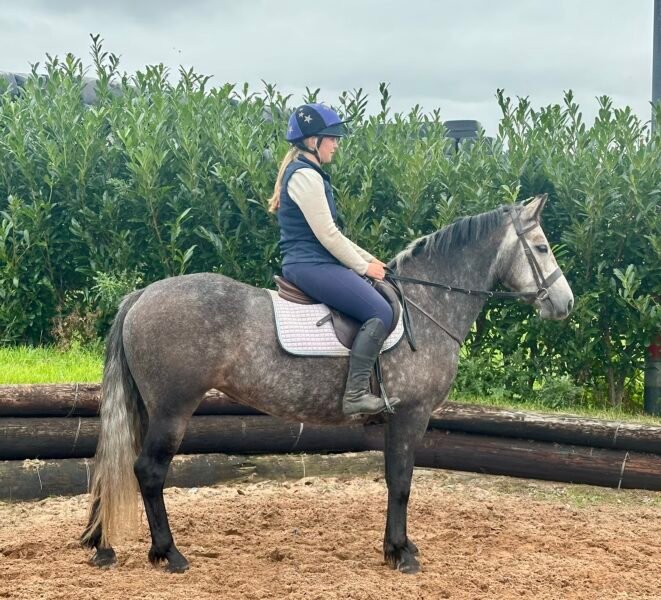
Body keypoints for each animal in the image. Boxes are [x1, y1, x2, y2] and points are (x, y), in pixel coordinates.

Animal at [81, 194, 574, 574]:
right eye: (542, 247)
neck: (427, 301)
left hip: (148, 409)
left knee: (119, 466)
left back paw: (110, 545)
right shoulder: (410, 415)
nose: (565, 304)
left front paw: (398, 547)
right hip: (173, 409)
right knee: (149, 471)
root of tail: (142, 294)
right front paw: (400, 553)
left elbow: (394, 479)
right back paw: (170, 554)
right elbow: (401, 482)